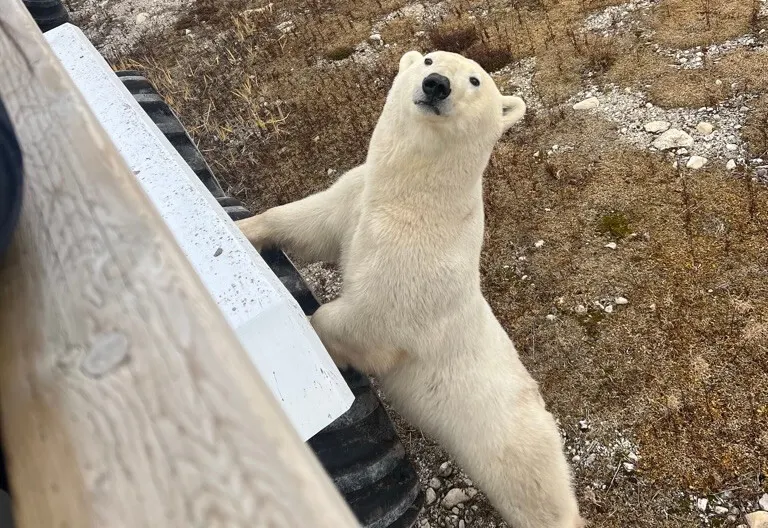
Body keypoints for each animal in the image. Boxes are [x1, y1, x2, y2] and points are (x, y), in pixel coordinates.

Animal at [236, 50, 585, 528]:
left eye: (475, 80)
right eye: (429, 59)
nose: (436, 84)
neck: (412, 201)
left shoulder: (414, 267)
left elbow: (370, 325)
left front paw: (307, 331)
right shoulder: (356, 196)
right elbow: (309, 223)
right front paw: (240, 227)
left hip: (507, 438)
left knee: (537, 491)